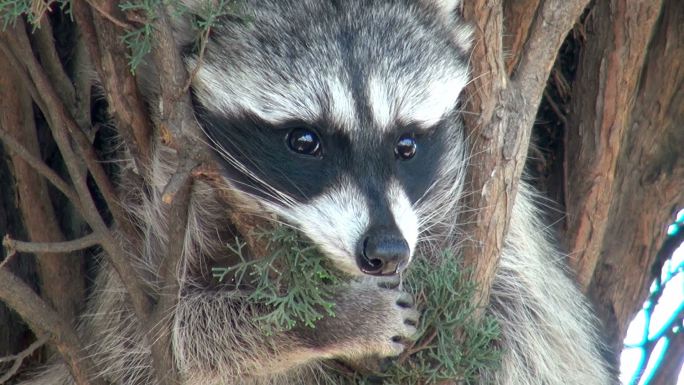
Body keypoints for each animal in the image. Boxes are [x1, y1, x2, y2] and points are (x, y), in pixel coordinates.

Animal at [18, 0, 612, 384]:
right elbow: (164, 337)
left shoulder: (484, 223)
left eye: (406, 145)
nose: (385, 250)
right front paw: (324, 321)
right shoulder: (163, 199)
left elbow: (524, 324)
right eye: (305, 142)